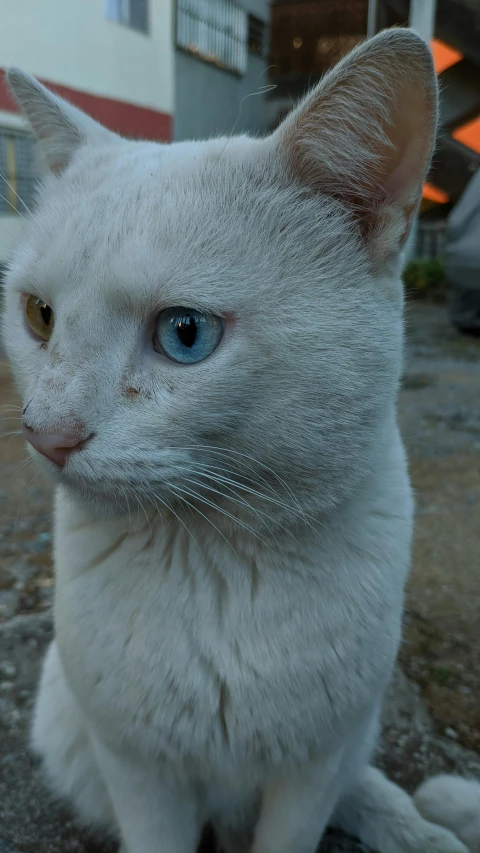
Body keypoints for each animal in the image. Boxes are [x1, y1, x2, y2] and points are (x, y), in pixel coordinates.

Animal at [3, 30, 480, 852]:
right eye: (38, 315)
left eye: (185, 333)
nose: (46, 433)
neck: (215, 567)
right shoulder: (141, 771)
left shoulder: (312, 766)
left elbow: (298, 825)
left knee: (363, 786)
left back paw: (426, 827)